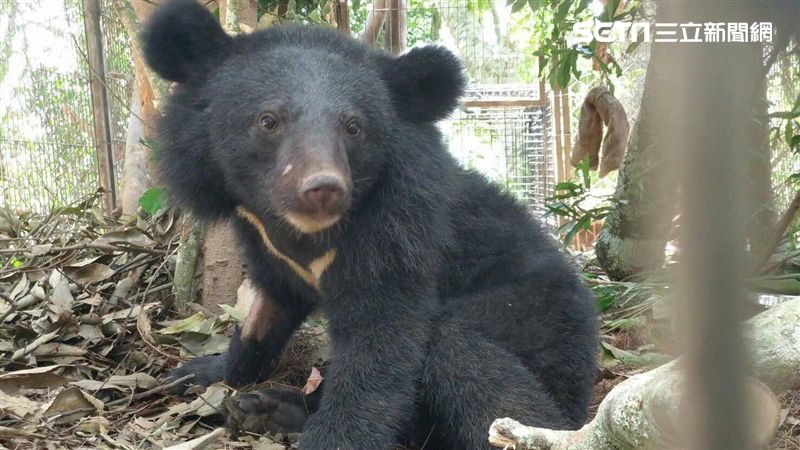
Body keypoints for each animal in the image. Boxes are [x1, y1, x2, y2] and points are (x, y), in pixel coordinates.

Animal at [141, 1, 598, 449]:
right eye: (268, 120)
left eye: (353, 126)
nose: (323, 188)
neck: (301, 230)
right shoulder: (263, 239)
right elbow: (268, 309)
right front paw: (198, 371)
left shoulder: (397, 233)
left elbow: (378, 347)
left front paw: (331, 438)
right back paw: (270, 407)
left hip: (534, 318)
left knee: (467, 357)